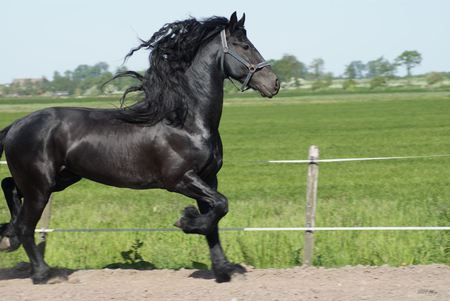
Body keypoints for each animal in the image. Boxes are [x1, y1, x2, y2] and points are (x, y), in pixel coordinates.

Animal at [0, 11, 280, 282]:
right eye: (244, 45)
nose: (274, 83)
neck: (186, 121)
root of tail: (15, 126)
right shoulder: (181, 179)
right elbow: (221, 206)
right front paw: (186, 221)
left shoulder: (209, 179)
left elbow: (214, 222)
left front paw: (223, 271)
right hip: (40, 187)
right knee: (25, 225)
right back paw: (43, 274)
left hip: (59, 179)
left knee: (9, 187)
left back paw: (8, 237)